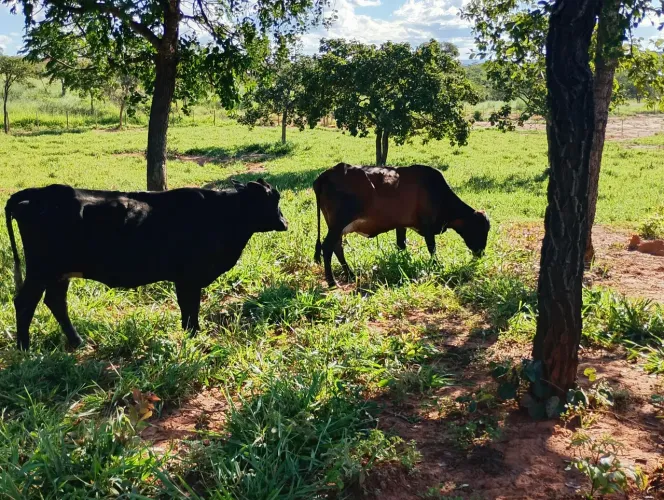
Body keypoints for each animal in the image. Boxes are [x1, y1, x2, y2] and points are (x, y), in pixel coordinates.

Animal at [5, 179, 287, 351]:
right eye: (273, 200)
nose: (284, 222)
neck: (222, 214)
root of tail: (41, 192)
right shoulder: (188, 278)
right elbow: (190, 311)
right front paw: (194, 339)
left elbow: (187, 312)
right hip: (41, 269)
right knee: (25, 302)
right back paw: (24, 348)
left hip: (58, 273)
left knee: (55, 302)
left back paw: (77, 341)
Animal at [313, 163, 490, 287]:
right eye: (480, 229)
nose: (481, 253)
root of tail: (326, 174)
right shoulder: (427, 226)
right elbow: (432, 249)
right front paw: (436, 265)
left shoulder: (401, 224)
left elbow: (401, 245)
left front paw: (402, 264)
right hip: (338, 224)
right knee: (327, 247)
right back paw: (331, 282)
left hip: (336, 227)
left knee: (337, 247)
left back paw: (349, 274)